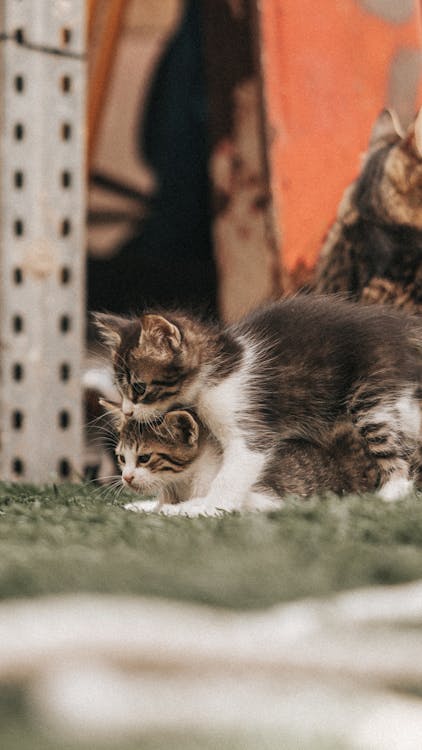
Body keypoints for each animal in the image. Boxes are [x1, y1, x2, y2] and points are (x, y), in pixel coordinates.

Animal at [106, 408, 380, 516]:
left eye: (144, 457)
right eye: (121, 458)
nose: (126, 477)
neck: (183, 482)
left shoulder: (269, 499)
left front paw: (177, 509)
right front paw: (143, 505)